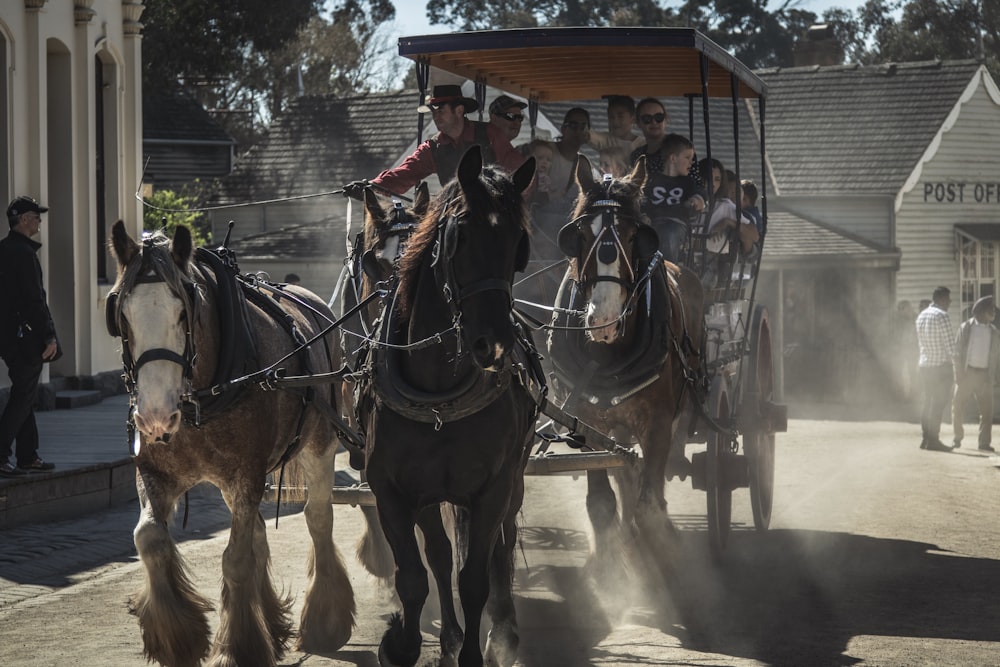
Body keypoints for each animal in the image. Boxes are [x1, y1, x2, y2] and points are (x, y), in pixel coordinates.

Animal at [108, 222, 364, 664]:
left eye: (184, 312)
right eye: (122, 315)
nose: (156, 415)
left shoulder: (247, 474)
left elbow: (236, 559)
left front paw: (237, 646)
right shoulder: (156, 473)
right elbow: (150, 539)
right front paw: (178, 637)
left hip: (320, 445)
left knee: (318, 519)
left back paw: (323, 621)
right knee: (259, 531)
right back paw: (273, 623)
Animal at [354, 147, 540, 667]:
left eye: (518, 242)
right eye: (461, 236)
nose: (494, 345)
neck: (439, 393)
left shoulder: (493, 488)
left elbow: (474, 578)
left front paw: (477, 649)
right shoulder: (393, 490)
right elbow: (415, 575)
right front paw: (402, 642)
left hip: (512, 480)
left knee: (501, 546)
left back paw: (503, 630)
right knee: (438, 553)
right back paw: (453, 635)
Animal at [548, 155, 704, 580]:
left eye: (635, 236)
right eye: (579, 235)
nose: (603, 321)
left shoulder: (658, 423)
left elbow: (649, 503)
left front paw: (665, 558)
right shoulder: (587, 423)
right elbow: (603, 503)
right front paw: (610, 569)